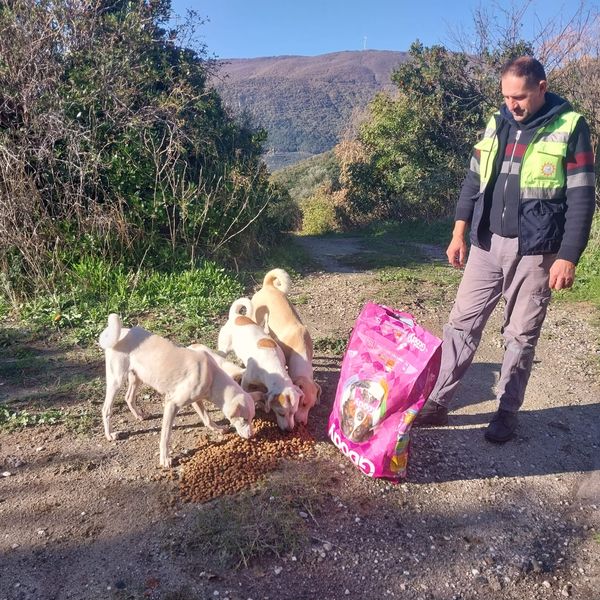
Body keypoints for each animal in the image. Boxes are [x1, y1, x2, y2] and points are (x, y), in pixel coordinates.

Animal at [98, 314, 255, 468]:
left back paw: (139, 415)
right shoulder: (172, 404)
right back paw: (110, 435)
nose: (251, 436)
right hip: (116, 380)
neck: (213, 377)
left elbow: (207, 418)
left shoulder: (197, 400)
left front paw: (217, 429)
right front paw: (165, 458)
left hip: (137, 377)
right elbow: (165, 436)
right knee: (106, 409)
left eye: (251, 419)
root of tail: (122, 332)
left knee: (128, 397)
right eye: (244, 419)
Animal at [218, 298, 302, 432]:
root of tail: (235, 316)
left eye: (294, 412)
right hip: (223, 349)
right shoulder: (246, 380)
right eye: (281, 413)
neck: (274, 366)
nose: (289, 430)